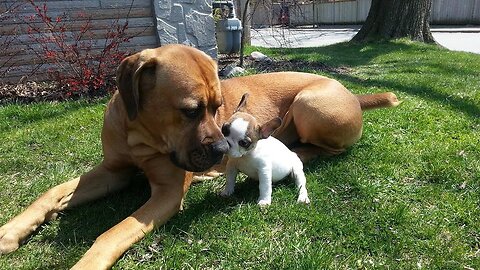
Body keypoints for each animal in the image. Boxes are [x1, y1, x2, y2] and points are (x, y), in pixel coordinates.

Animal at [0, 44, 398, 268]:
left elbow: (115, 231)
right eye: (191, 111)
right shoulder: (113, 171)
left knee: (325, 149)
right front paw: (12, 230)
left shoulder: (167, 192)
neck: (140, 134)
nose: (223, 150)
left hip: (308, 103)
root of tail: (353, 94)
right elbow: (51, 192)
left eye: (218, 106)